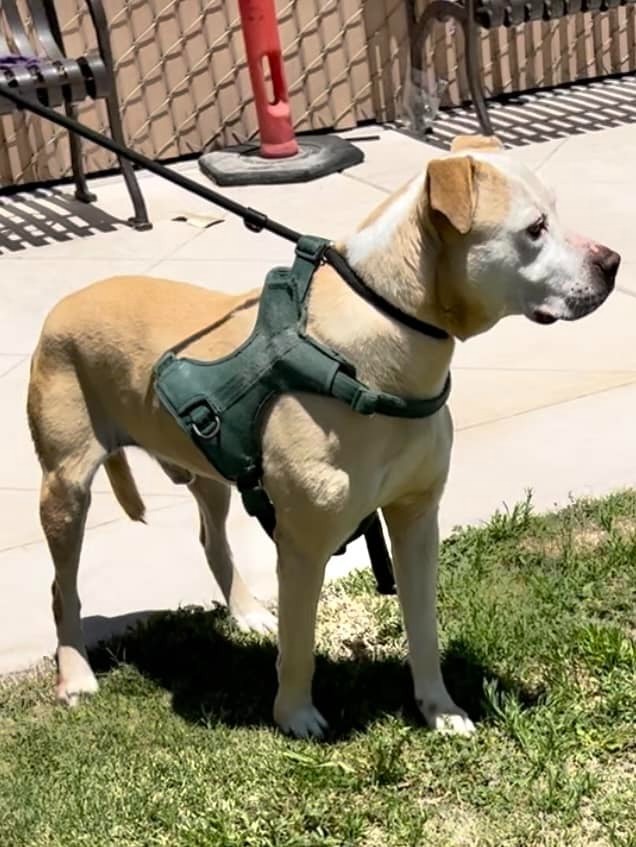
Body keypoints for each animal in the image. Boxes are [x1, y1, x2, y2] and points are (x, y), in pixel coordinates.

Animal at [27, 136, 620, 740]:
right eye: (534, 229)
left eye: (555, 212)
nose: (613, 263)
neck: (385, 332)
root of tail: (67, 301)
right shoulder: (304, 542)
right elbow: (300, 641)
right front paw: (295, 715)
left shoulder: (417, 518)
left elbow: (423, 625)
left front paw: (441, 708)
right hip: (65, 484)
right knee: (60, 586)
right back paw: (75, 676)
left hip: (204, 469)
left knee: (212, 539)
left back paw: (245, 612)